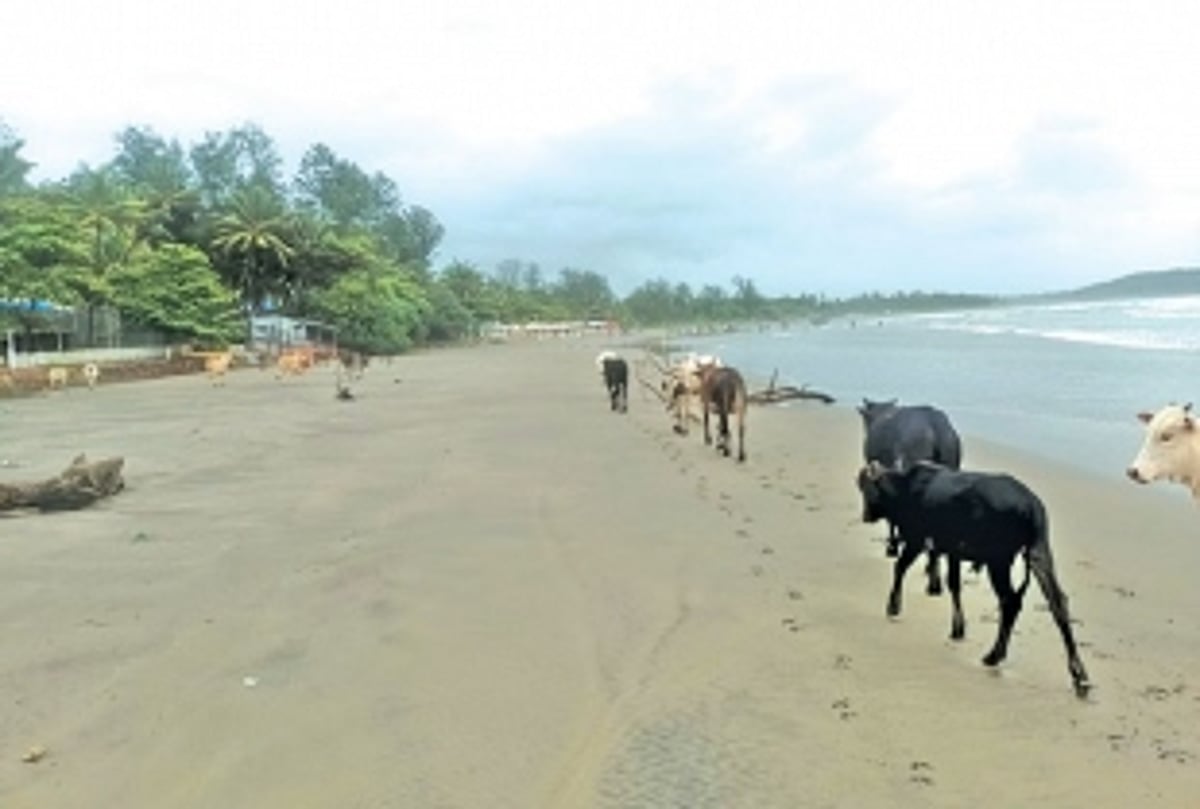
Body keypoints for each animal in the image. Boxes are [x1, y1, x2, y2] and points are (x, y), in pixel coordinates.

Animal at [857, 460, 1091, 697]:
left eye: (866, 488)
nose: (865, 516)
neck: (906, 486)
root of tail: (1031, 505)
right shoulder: (951, 552)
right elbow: (953, 584)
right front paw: (957, 628)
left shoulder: (917, 539)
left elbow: (900, 568)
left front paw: (893, 606)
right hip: (1038, 554)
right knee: (1057, 603)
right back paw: (1078, 674)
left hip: (998, 561)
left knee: (1010, 602)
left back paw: (994, 656)